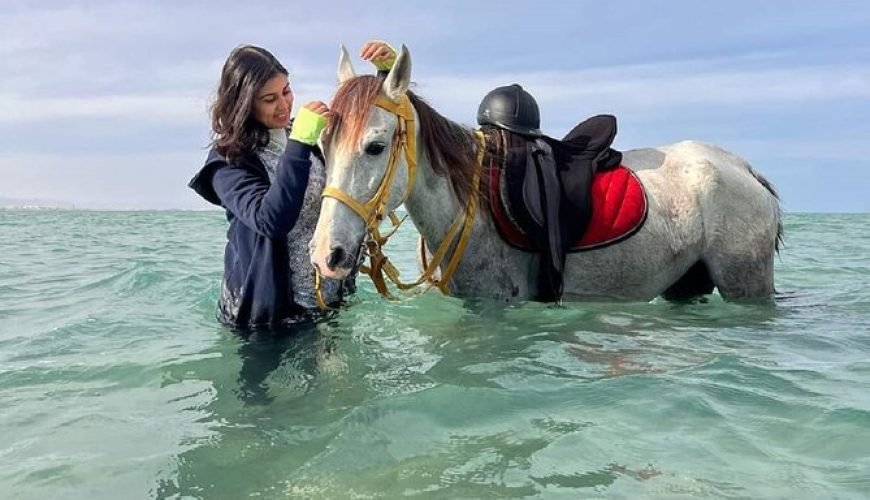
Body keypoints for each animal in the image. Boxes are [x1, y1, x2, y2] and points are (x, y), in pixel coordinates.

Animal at [310, 45, 783, 303]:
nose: (326, 255)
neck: (476, 206)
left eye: (375, 146)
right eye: (323, 146)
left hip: (746, 281)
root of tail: (743, 167)